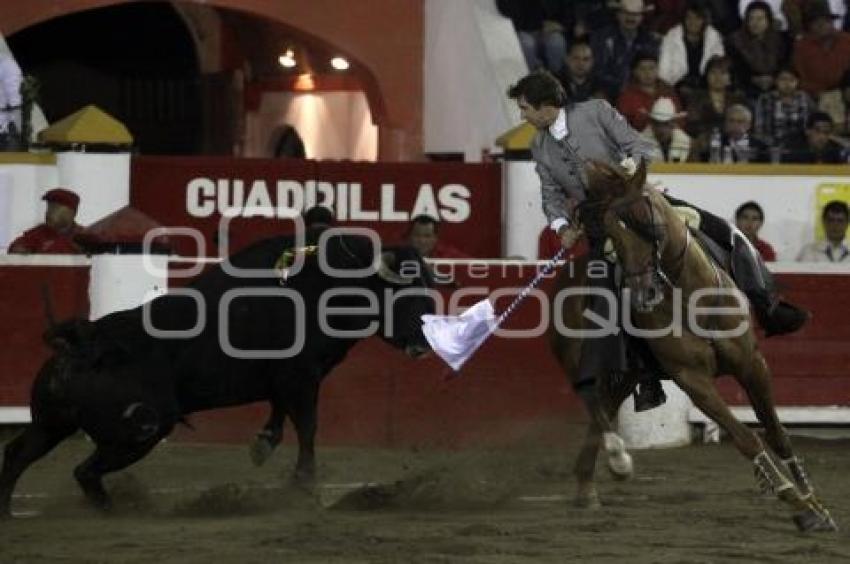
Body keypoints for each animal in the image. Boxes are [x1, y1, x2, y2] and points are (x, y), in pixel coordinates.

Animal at [0, 234, 434, 516]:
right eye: (405, 294)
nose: (424, 343)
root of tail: (85, 343)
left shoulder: (285, 379)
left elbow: (281, 416)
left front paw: (263, 446)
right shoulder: (301, 376)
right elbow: (308, 426)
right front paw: (303, 485)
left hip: (51, 423)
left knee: (18, 454)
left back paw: (9, 512)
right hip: (143, 429)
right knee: (84, 471)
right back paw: (114, 512)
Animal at [548, 160, 836, 532]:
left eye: (647, 219)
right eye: (612, 229)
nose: (643, 295)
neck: (693, 297)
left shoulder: (752, 364)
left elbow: (776, 431)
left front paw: (815, 503)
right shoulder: (694, 381)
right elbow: (746, 437)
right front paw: (798, 504)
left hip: (628, 375)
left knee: (604, 410)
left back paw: (587, 484)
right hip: (584, 365)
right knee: (595, 406)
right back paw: (617, 461)